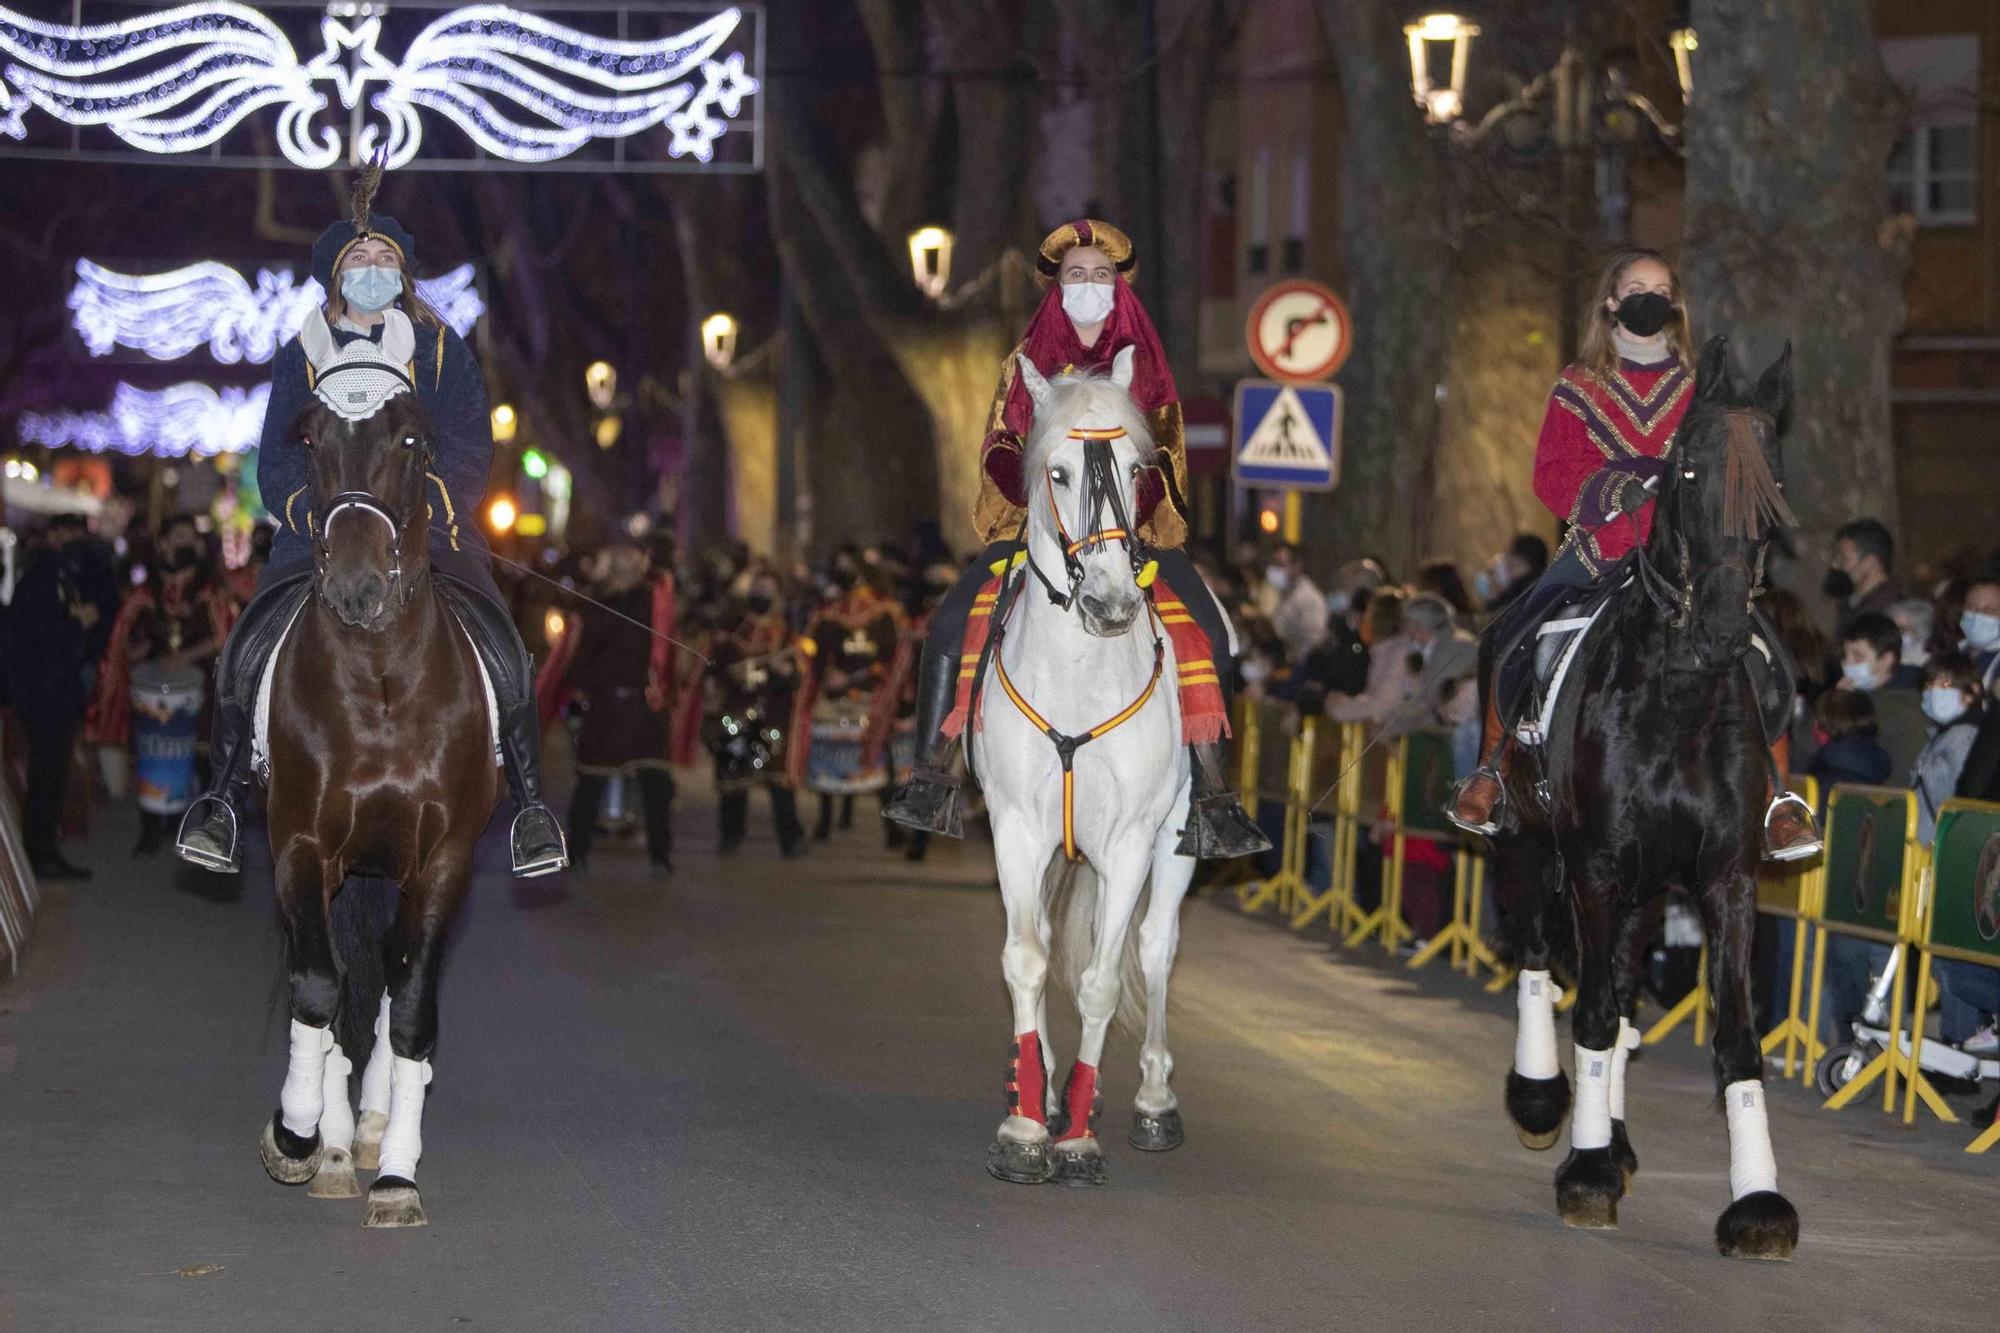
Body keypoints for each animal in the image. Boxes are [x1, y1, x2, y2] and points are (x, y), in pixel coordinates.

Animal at [254, 350, 500, 1224]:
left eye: (409, 440)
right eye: (312, 439)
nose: (356, 589)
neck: (381, 681)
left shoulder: (442, 860)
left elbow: (413, 1006)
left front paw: (395, 1173)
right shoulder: (300, 844)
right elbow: (319, 987)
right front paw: (299, 1135)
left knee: (394, 980)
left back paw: (370, 1128)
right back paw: (332, 1142)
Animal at [968, 350, 1200, 1184]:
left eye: (1137, 469)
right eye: (1059, 472)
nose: (1111, 604)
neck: (1077, 670)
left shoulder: (1130, 840)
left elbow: (1101, 979)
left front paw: (1073, 1140)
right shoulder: (1015, 830)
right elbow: (1025, 961)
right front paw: (1026, 1126)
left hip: (1172, 841)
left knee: (1154, 944)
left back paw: (1154, 1101)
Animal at [1496, 334, 1808, 1256]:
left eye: (1775, 477)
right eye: (1692, 469)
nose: (1722, 623)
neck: (1677, 690)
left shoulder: (1726, 879)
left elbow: (1735, 1036)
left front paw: (1758, 1200)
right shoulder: (1596, 866)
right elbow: (1593, 1013)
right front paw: (1587, 1169)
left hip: (1641, 891)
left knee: (1629, 988)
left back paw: (1617, 1133)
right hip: (1529, 843)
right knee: (1539, 956)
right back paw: (1544, 1100)